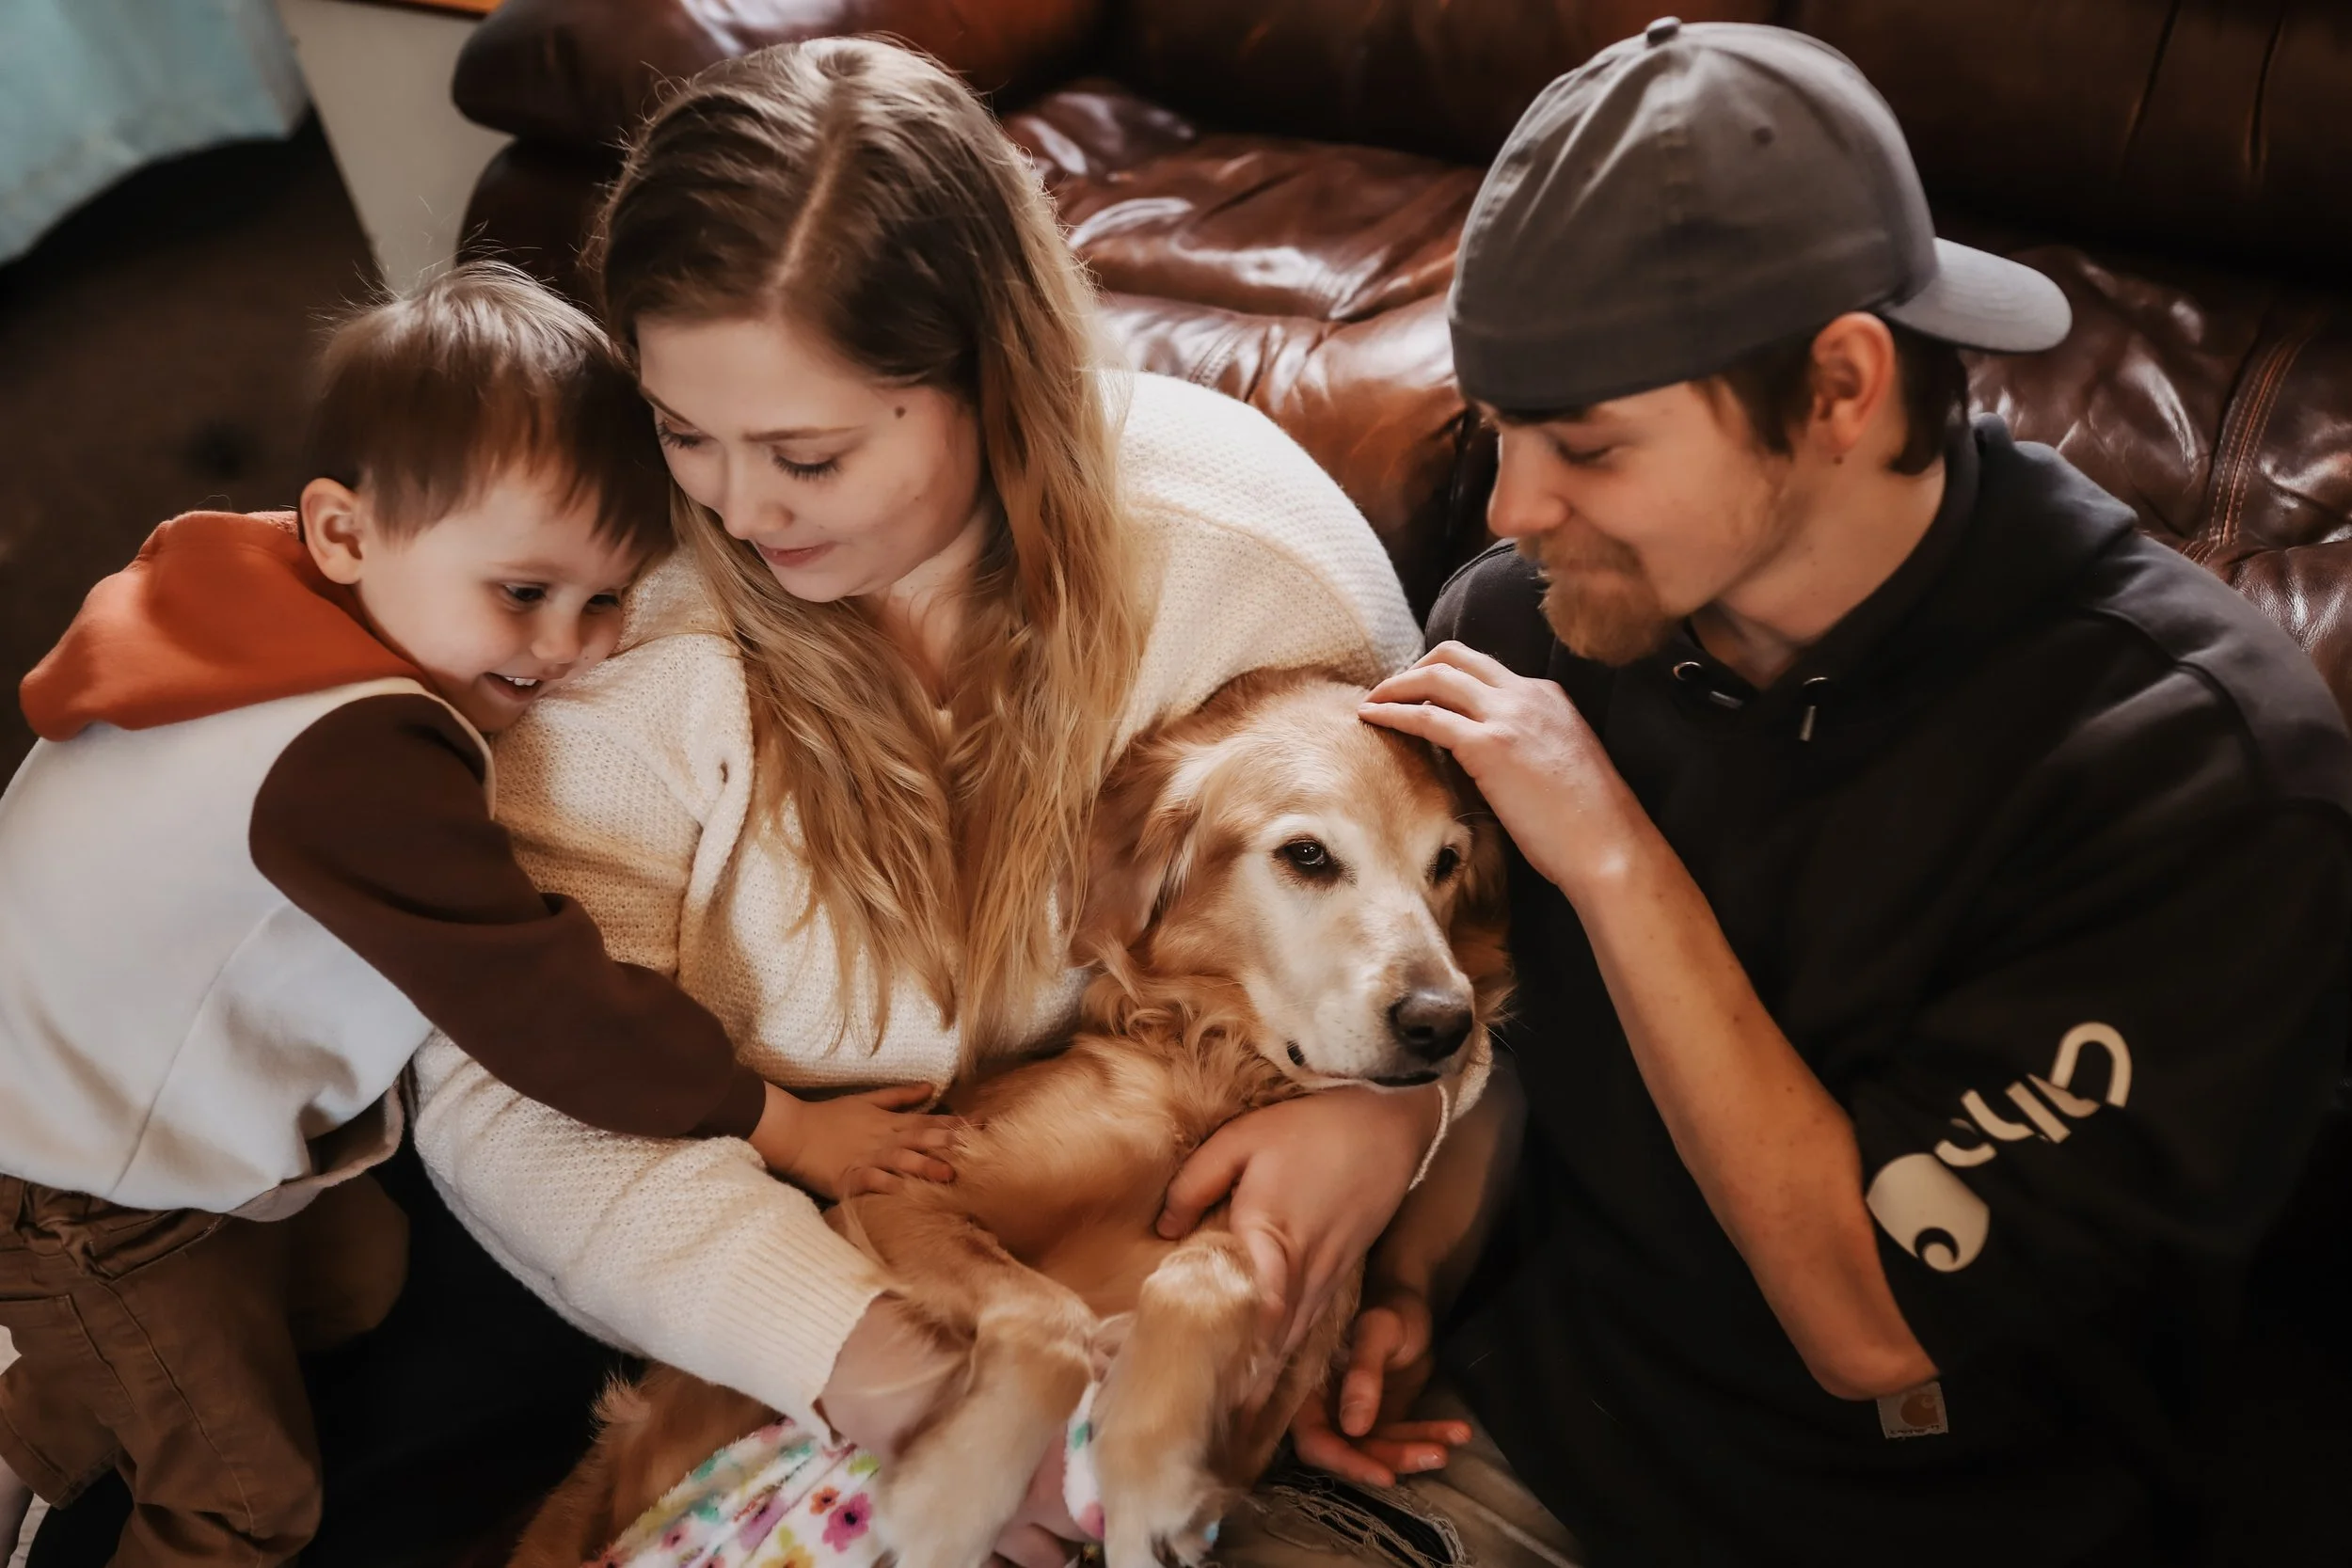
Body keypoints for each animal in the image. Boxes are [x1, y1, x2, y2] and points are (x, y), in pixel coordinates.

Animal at [510, 668, 1509, 1568]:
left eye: (1445, 863)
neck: (1216, 1073)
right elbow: (1050, 1315)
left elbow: (1211, 1265)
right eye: (1307, 856)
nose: (1443, 1024)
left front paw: (1149, 1473)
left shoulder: (1266, 1379)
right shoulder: (892, 1194)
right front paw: (949, 1498)